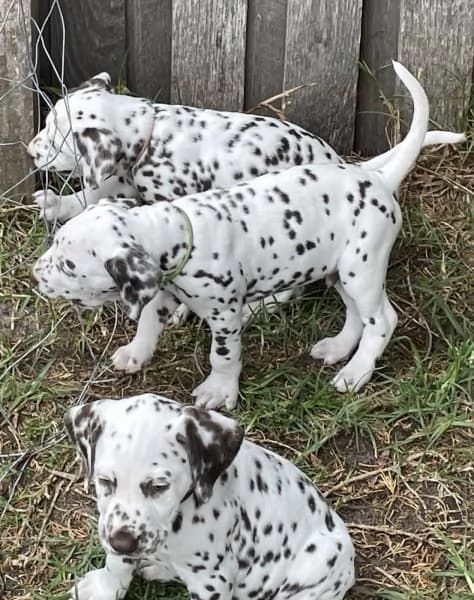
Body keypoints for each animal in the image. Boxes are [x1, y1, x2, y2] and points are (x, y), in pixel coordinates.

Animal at [34, 62, 466, 408]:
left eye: (56, 137)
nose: (31, 150)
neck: (153, 133)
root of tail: (374, 175)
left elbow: (218, 349)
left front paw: (215, 381)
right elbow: (96, 195)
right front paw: (58, 204)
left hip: (360, 268)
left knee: (371, 316)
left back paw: (352, 367)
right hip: (339, 269)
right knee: (353, 313)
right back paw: (338, 348)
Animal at [65, 394, 356, 600]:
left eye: (159, 486)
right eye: (105, 481)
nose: (123, 543)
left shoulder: (212, 580)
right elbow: (117, 564)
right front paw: (104, 588)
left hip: (317, 563)